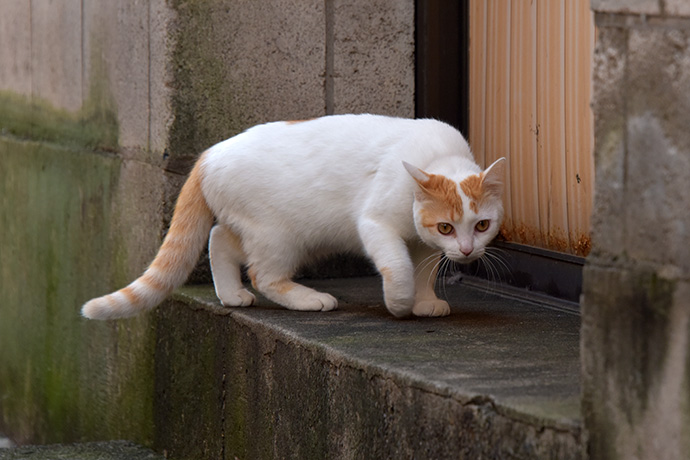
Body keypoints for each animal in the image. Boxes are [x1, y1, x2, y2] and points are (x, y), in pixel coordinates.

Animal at [82, 113, 506, 320]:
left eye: (482, 226)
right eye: (447, 226)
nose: (467, 251)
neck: (438, 157)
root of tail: (208, 154)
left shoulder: (424, 243)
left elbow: (422, 271)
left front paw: (424, 301)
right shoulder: (376, 224)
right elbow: (399, 267)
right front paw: (401, 303)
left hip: (263, 231)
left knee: (219, 239)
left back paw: (231, 295)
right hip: (280, 237)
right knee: (263, 275)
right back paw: (308, 299)